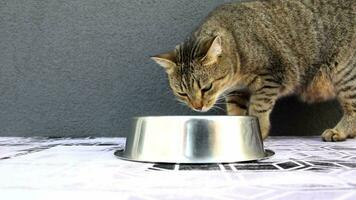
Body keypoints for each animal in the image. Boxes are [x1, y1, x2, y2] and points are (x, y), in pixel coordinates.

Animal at [151, 0, 356, 141]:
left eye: (206, 88)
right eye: (182, 93)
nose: (197, 107)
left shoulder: (271, 76)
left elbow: (258, 107)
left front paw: (259, 131)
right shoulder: (236, 91)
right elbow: (236, 111)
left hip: (345, 73)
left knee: (352, 109)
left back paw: (340, 131)